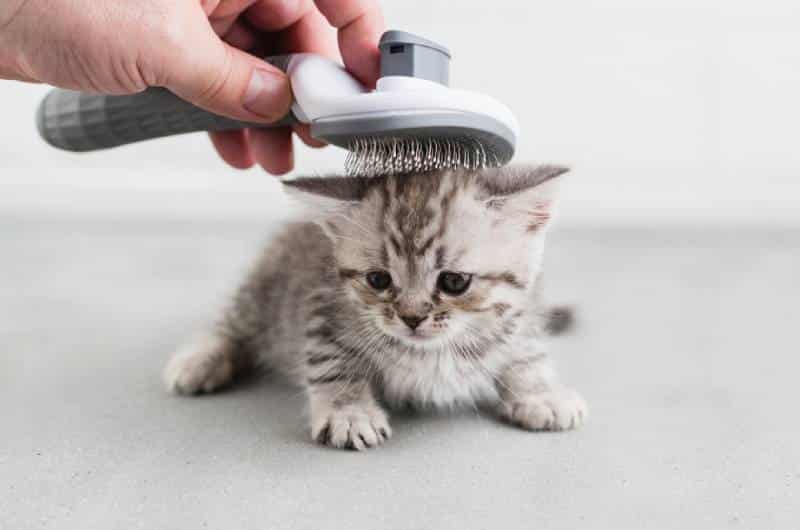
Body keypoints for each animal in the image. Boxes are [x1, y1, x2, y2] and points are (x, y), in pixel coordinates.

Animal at [164, 164, 588, 446]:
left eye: (454, 282)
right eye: (378, 280)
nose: (412, 317)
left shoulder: (523, 311)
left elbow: (526, 350)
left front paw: (540, 392)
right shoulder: (322, 309)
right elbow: (331, 361)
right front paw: (348, 412)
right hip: (267, 290)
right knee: (233, 325)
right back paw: (200, 360)